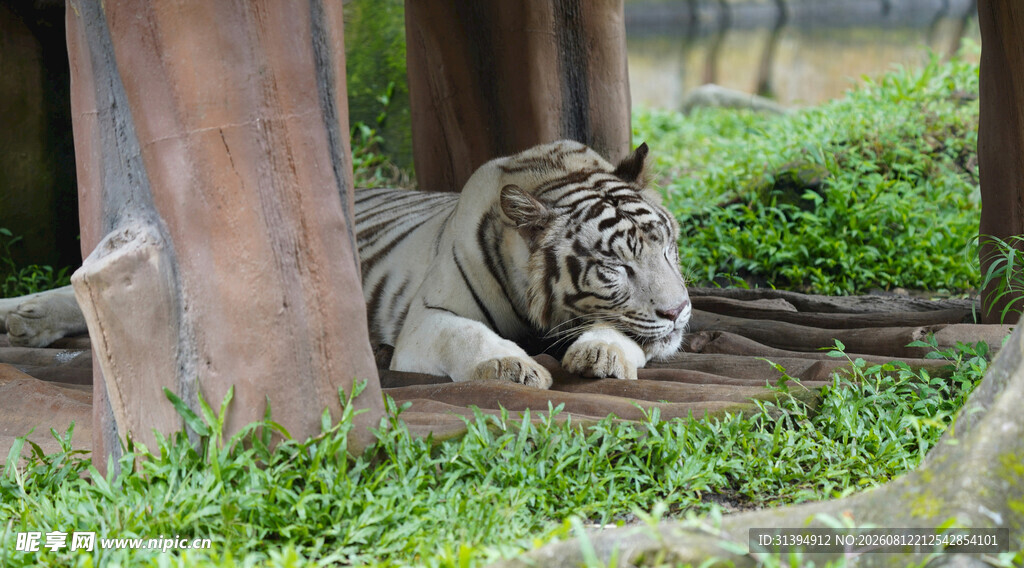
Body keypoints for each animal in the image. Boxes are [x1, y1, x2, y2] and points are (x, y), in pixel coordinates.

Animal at [356, 140, 691, 389]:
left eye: (666, 249)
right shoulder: (425, 316)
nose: (677, 311)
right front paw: (512, 366)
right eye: (616, 266)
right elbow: (466, 334)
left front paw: (601, 353)